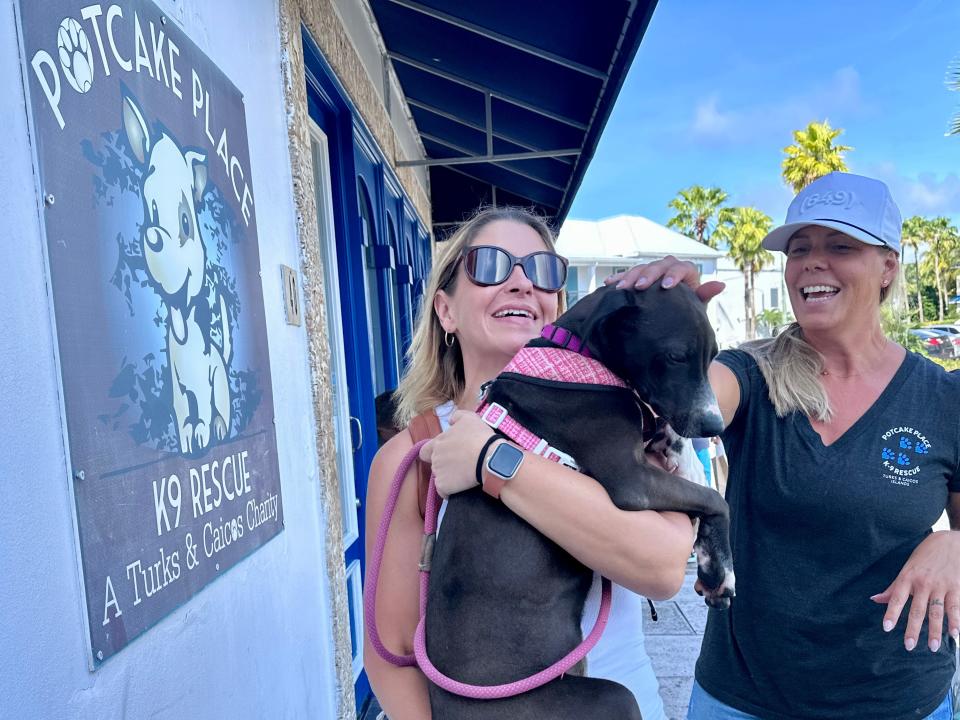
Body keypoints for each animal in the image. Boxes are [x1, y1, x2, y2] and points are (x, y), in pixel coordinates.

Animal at [428, 284, 736, 720]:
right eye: (676, 355)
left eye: (713, 356)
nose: (714, 426)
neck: (577, 350)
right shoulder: (632, 481)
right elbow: (716, 501)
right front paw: (718, 571)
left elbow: (667, 433)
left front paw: (686, 459)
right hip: (610, 699)